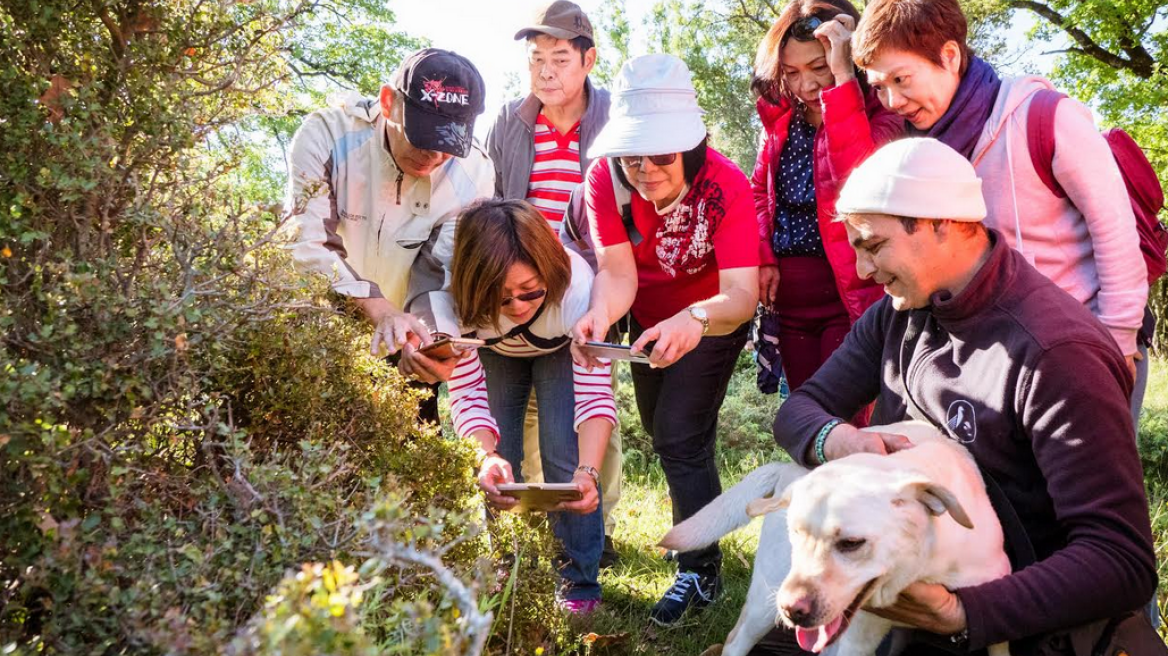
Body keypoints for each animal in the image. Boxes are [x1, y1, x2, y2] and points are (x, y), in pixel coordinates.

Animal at [663, 420, 1009, 653]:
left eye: (851, 544)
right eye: (795, 532)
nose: (791, 609)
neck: (922, 567)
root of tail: (789, 468)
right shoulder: (859, 637)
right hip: (764, 601)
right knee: (736, 641)